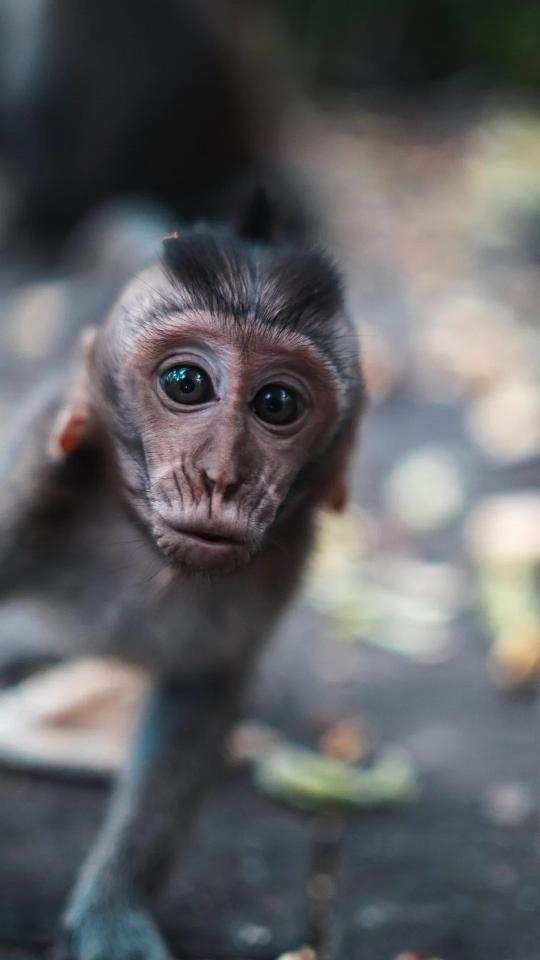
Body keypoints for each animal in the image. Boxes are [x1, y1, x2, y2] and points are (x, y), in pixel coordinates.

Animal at [0, 216, 363, 960]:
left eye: (277, 402)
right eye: (187, 383)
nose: (221, 478)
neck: (141, 549)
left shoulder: (275, 573)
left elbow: (199, 693)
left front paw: (115, 907)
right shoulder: (29, 481)